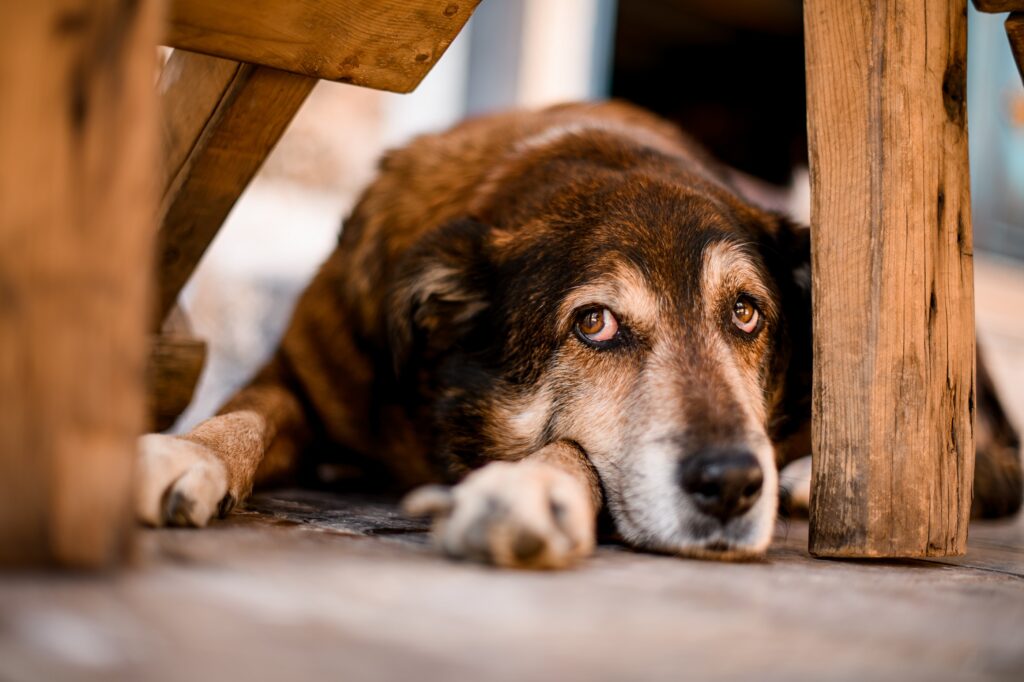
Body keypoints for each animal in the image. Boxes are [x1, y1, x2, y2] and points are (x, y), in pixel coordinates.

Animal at [136, 100, 1024, 565]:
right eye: (593, 324)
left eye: (746, 312)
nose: (736, 485)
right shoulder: (301, 375)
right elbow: (243, 415)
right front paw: (184, 453)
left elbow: (567, 450)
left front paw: (526, 489)